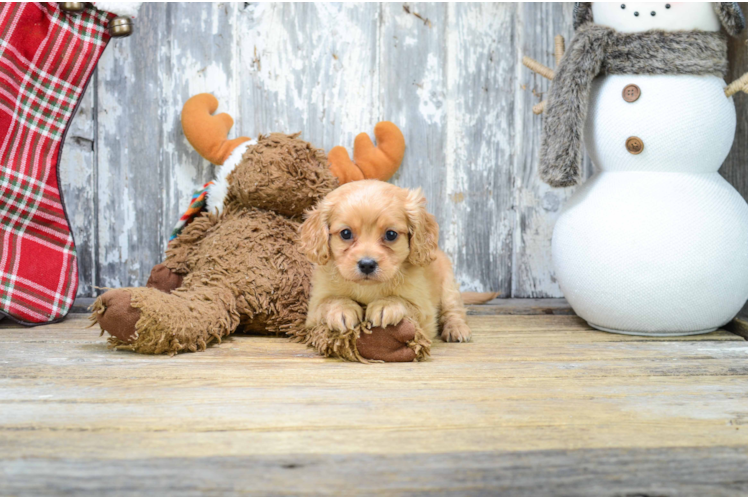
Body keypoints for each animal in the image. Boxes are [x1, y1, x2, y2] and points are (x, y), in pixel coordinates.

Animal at [300, 179, 470, 344]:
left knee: (454, 311)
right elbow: (329, 301)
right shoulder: (313, 310)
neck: (368, 288)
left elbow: (404, 302)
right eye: (346, 233)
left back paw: (456, 329)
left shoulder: (425, 312)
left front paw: (386, 305)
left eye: (391, 234)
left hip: (449, 287)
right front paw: (342, 308)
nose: (367, 264)